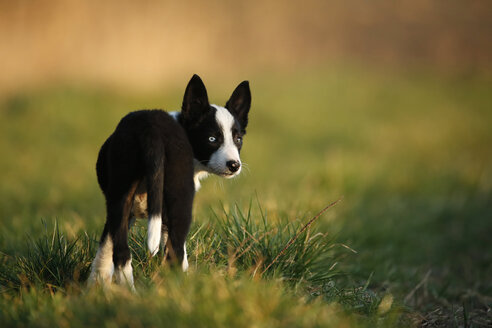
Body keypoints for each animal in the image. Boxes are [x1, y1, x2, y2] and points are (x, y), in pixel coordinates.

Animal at [88, 75, 252, 290]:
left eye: (238, 140)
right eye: (212, 139)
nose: (234, 165)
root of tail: (151, 130)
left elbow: (105, 248)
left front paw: (94, 288)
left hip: (121, 191)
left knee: (123, 254)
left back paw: (129, 293)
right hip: (181, 199)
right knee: (176, 253)